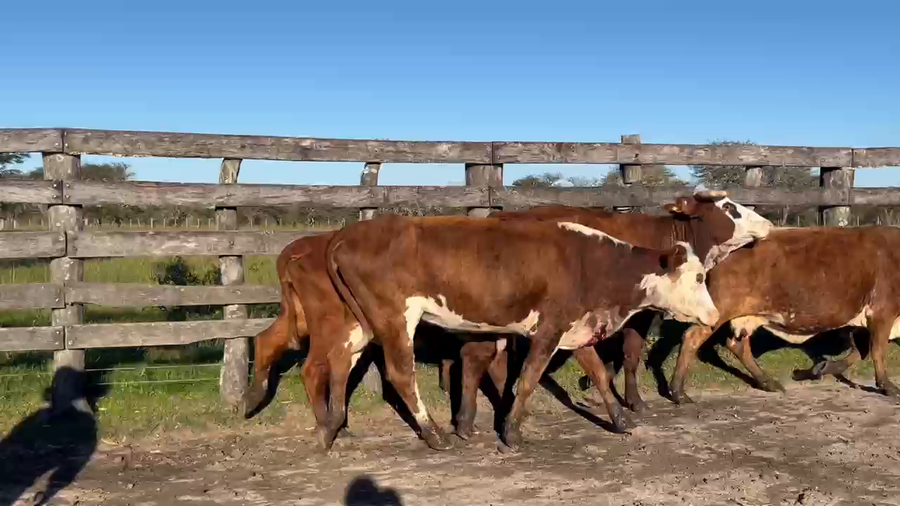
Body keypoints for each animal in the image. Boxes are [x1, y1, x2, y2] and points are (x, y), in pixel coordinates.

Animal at [324, 214, 720, 451]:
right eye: (700, 277)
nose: (715, 314)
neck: (590, 262)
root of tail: (346, 235)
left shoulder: (575, 326)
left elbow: (598, 374)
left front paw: (622, 421)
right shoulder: (550, 328)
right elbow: (529, 377)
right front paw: (511, 431)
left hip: (361, 319)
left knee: (340, 359)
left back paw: (331, 427)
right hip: (395, 317)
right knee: (401, 373)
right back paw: (434, 434)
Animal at [441, 191, 773, 438]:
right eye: (728, 207)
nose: (768, 223)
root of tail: (498, 215)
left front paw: (596, 392)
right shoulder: (639, 315)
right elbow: (631, 354)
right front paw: (634, 401)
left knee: (477, 356)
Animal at [667, 226, 900, 405]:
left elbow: (859, 353)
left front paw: (819, 369)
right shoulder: (883, 312)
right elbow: (876, 350)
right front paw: (888, 386)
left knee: (738, 345)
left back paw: (768, 382)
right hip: (717, 310)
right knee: (692, 337)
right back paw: (678, 391)